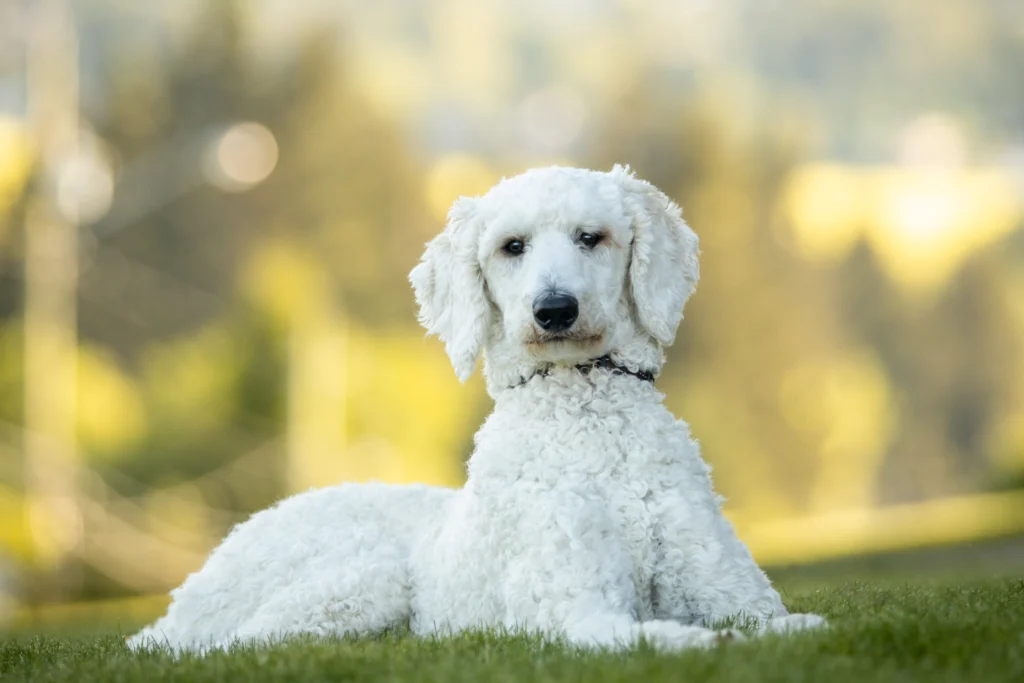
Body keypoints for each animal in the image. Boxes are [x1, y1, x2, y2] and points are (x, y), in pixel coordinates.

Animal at [128, 163, 827, 651]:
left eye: (591, 237)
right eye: (512, 246)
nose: (554, 310)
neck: (590, 423)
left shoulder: (731, 588)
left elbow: (786, 623)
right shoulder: (576, 611)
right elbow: (663, 636)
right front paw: (710, 643)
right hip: (363, 579)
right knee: (234, 646)